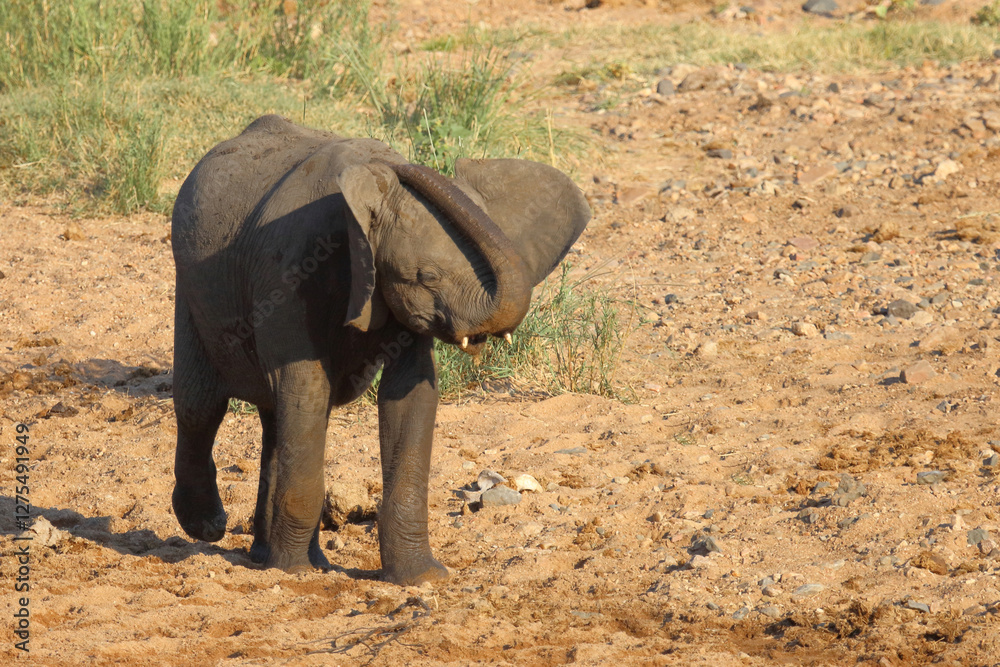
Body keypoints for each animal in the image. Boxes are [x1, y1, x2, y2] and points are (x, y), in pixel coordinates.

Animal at [170, 114, 590, 584]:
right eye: (427, 276)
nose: (400, 164)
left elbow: (410, 392)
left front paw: (421, 577)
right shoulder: (286, 268)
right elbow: (305, 385)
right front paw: (296, 575)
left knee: (276, 420)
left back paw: (274, 556)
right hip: (191, 289)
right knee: (202, 404)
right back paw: (210, 528)